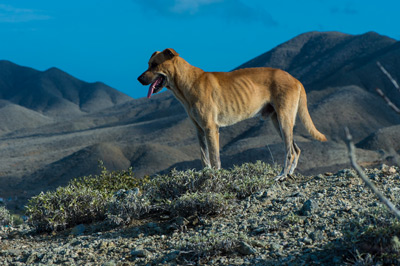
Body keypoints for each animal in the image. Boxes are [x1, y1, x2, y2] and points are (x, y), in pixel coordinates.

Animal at [139, 48, 326, 180]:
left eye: (154, 65)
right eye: (148, 63)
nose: (138, 79)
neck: (185, 84)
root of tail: (295, 78)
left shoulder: (211, 128)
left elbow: (215, 158)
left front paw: (215, 178)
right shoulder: (199, 130)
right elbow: (204, 157)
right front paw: (205, 177)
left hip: (284, 120)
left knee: (290, 151)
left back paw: (282, 175)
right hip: (277, 121)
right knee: (296, 149)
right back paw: (289, 173)